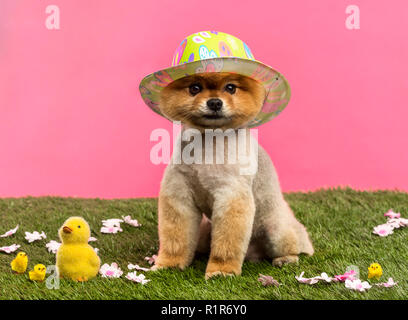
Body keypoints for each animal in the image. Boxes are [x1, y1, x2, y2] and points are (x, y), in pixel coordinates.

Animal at [151, 71, 314, 278]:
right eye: (194, 88)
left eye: (230, 88)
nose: (214, 103)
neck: (208, 142)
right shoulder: (179, 194)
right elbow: (176, 239)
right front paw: (169, 265)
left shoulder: (231, 195)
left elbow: (226, 243)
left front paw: (221, 270)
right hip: (206, 232)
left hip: (276, 230)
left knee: (293, 246)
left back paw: (286, 259)